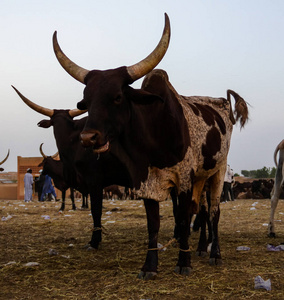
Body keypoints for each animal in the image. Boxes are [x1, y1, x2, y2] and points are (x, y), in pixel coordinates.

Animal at [52, 11, 250, 278]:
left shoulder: (183, 180)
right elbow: (153, 224)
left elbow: (184, 218)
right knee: (202, 210)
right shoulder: (145, 182)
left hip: (218, 171)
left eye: (117, 97)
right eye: (87, 100)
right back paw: (201, 248)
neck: (155, 139)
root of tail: (223, 102)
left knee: (214, 212)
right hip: (201, 177)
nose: (88, 138)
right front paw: (150, 266)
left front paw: (183, 262)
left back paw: (214, 253)